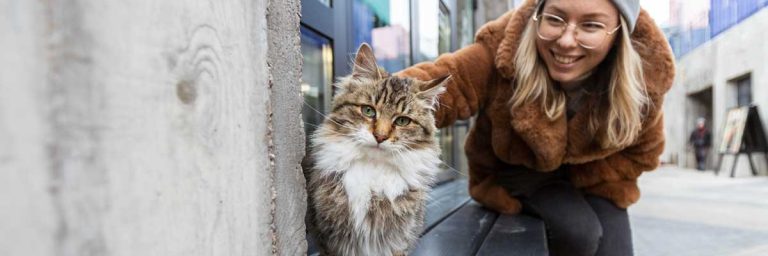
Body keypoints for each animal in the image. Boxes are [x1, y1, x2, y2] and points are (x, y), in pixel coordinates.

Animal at [306, 44, 450, 256]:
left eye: (402, 121)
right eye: (368, 111)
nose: (380, 137)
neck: (373, 170)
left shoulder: (398, 240)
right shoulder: (333, 239)